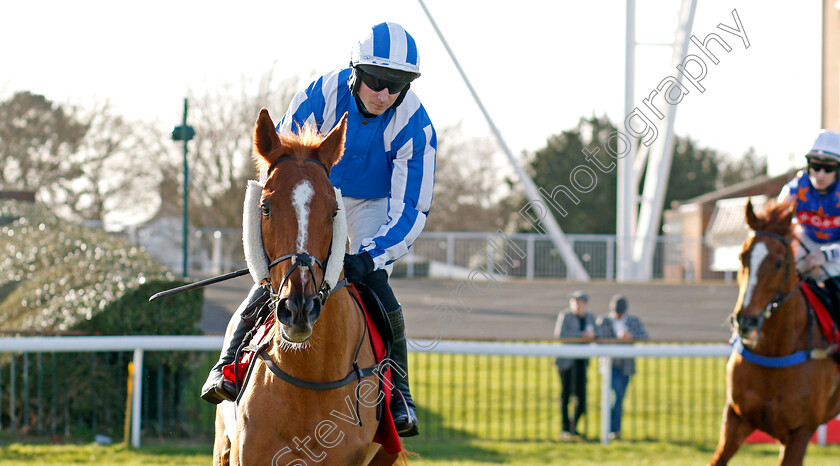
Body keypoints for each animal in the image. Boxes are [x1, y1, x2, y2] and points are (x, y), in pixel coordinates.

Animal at [712, 198, 840, 464]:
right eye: (742, 257)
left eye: (779, 263)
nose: (746, 321)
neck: (774, 351)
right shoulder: (737, 417)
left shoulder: (801, 430)